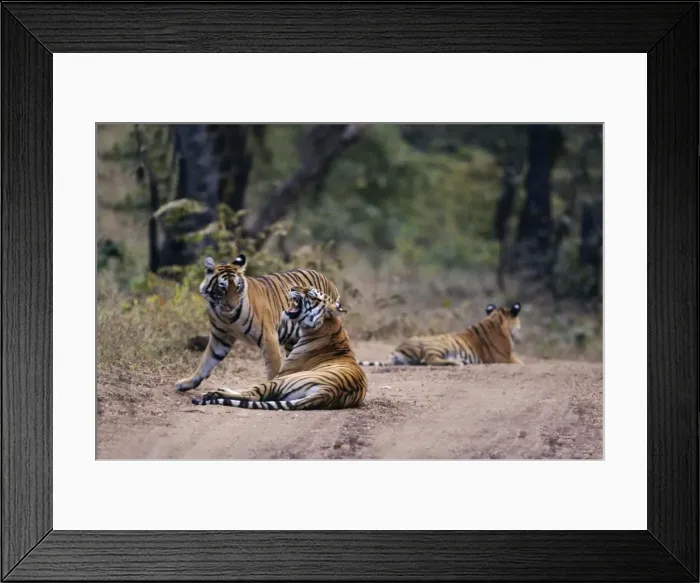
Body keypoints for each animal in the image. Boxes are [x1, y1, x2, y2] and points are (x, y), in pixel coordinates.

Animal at [175, 254, 343, 392]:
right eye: (222, 288)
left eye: (237, 287)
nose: (232, 305)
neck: (228, 317)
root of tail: (328, 279)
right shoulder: (220, 338)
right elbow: (206, 362)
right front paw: (187, 383)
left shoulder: (268, 337)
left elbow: (274, 369)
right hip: (293, 340)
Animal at [191, 285, 367, 410]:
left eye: (311, 294)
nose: (292, 288)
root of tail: (329, 391)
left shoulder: (283, 372)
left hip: (282, 380)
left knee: (253, 395)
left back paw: (212, 393)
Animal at [358, 302, 524, 367]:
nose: (521, 333)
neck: (495, 319)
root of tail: (396, 350)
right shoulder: (505, 357)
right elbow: (521, 362)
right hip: (440, 345)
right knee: (429, 359)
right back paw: (457, 363)